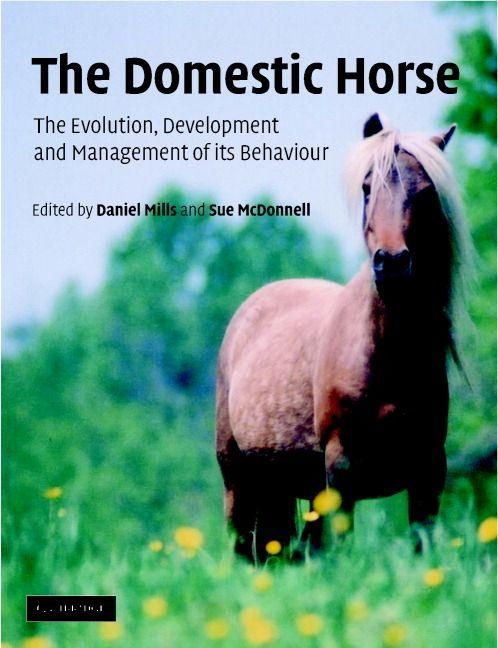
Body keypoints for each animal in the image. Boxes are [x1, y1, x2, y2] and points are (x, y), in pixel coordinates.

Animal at [215, 113, 469, 562]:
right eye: (367, 187)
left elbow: (422, 546)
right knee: (245, 546)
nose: (391, 263)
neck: (386, 357)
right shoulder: (340, 469)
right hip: (239, 478)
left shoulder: (428, 471)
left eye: (426, 193)